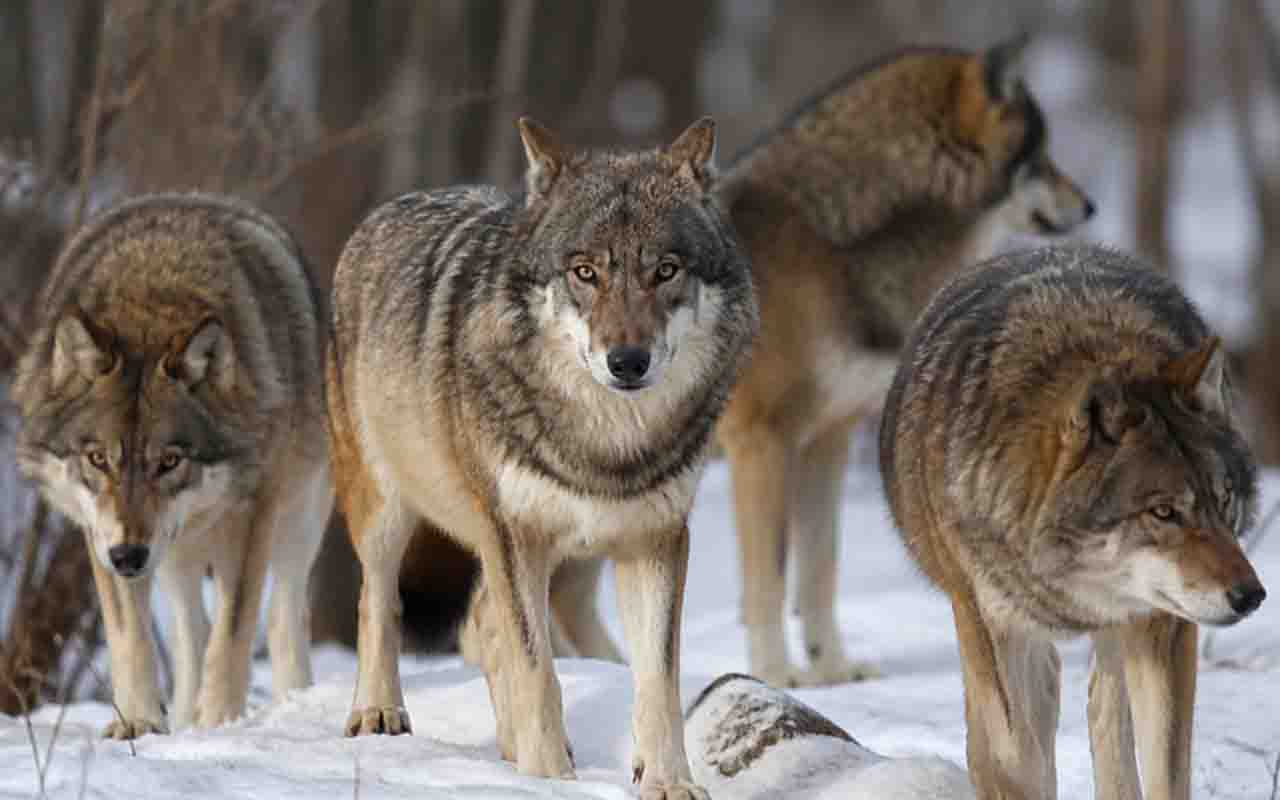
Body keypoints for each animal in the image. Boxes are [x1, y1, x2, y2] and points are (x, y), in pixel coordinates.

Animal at [12, 192, 332, 739]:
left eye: (169, 461)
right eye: (98, 459)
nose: (128, 556)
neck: (151, 302)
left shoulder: (250, 520)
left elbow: (232, 636)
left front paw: (220, 727)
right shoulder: (101, 537)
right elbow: (133, 640)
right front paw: (139, 724)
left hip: (297, 520)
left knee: (282, 619)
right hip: (173, 554)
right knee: (191, 634)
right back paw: (182, 719)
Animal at [326, 116, 756, 795]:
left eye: (665, 270)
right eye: (584, 272)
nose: (627, 362)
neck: (605, 442)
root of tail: (390, 208)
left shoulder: (656, 541)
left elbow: (656, 681)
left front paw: (667, 782)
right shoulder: (515, 535)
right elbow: (539, 672)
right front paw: (548, 778)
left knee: (479, 620)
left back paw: (506, 747)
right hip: (386, 511)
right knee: (379, 601)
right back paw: (378, 711)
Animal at [710, 35, 1095, 688]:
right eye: (1040, 157)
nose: (1090, 204)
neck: (835, 241)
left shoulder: (828, 438)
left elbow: (819, 574)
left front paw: (832, 671)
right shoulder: (759, 441)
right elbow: (768, 583)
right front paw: (776, 677)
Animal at [879, 244, 1266, 800]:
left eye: (1224, 499)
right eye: (1164, 512)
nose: (1250, 595)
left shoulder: (1163, 623)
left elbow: (1165, 770)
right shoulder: (994, 630)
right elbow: (1013, 762)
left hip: (1120, 633)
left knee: (1104, 717)